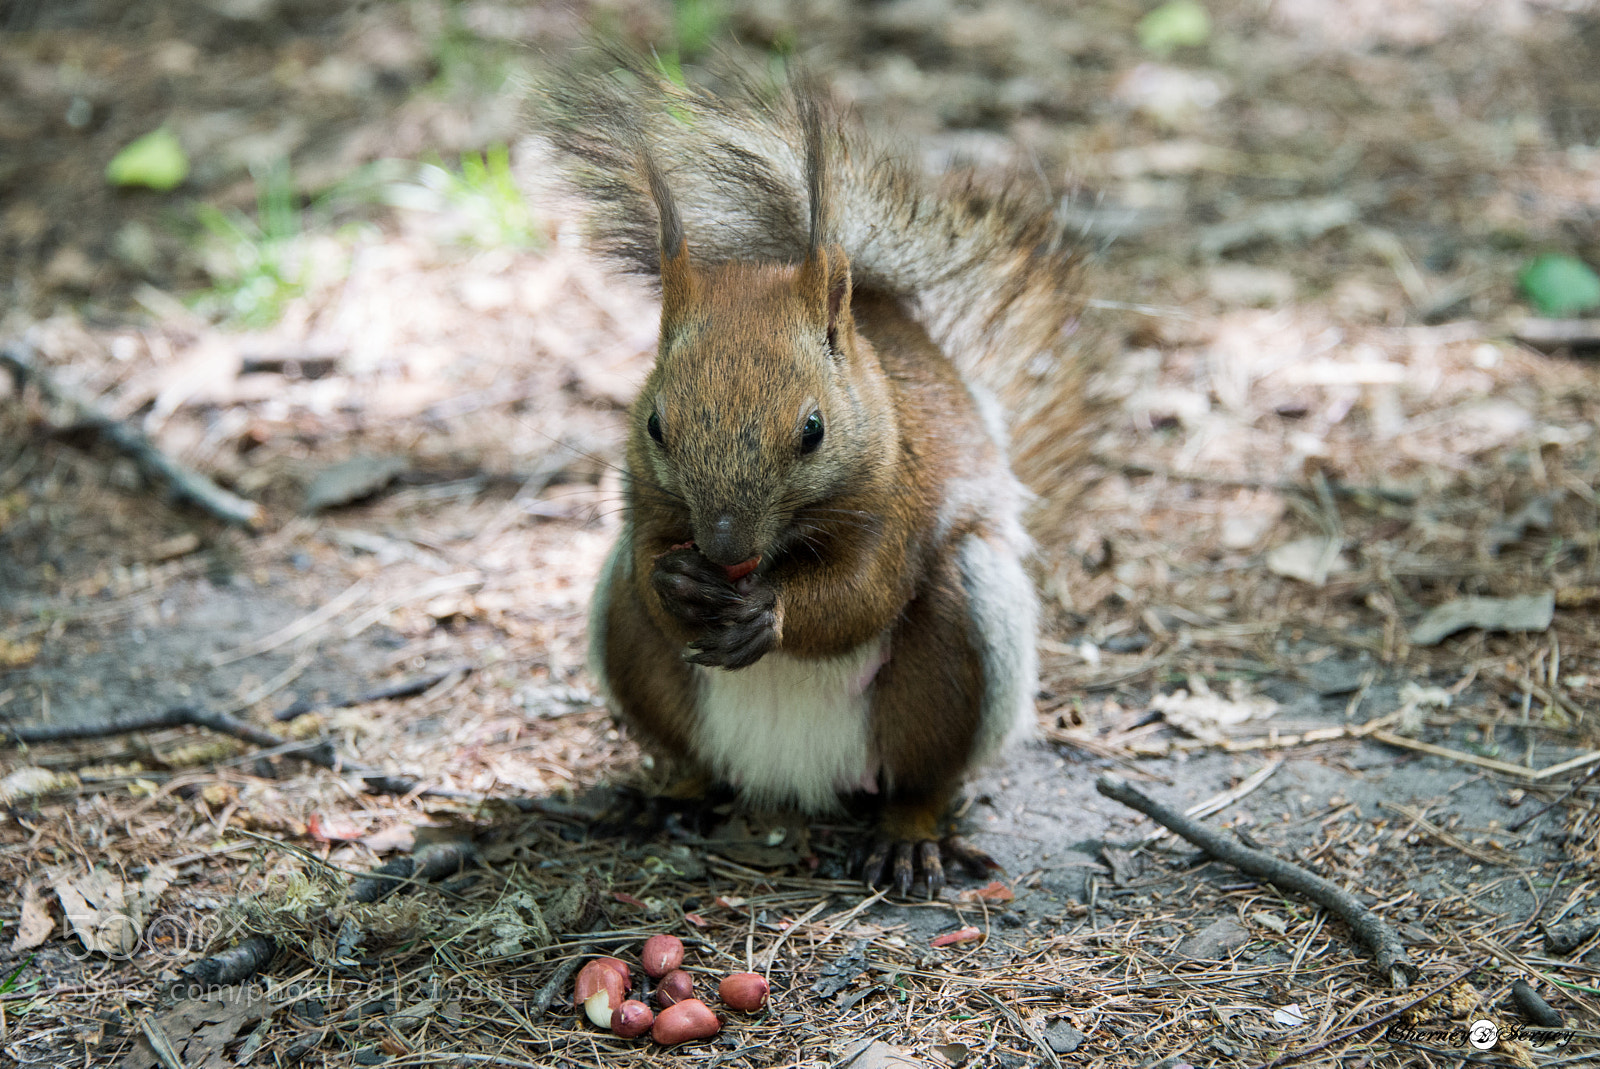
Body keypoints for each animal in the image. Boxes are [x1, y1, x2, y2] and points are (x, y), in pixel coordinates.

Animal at [537, 56, 1091, 896]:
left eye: (813, 430)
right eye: (656, 425)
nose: (726, 551)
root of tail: (791, 774)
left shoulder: (900, 497)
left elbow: (863, 594)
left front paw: (771, 611)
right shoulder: (644, 499)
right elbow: (652, 567)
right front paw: (679, 583)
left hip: (963, 634)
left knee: (922, 773)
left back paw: (906, 835)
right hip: (630, 644)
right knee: (685, 735)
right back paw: (668, 795)